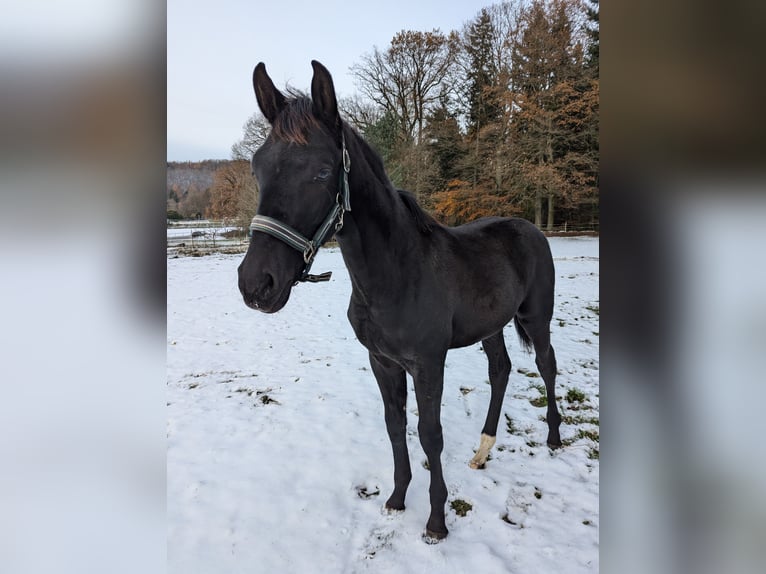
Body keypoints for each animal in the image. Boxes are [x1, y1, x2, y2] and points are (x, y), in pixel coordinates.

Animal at [237, 60, 560, 544]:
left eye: (322, 171)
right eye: (258, 168)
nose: (256, 284)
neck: (396, 274)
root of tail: (530, 228)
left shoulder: (427, 363)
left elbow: (430, 434)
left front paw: (436, 522)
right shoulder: (383, 362)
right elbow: (395, 426)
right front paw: (396, 498)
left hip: (536, 317)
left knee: (546, 364)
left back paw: (554, 439)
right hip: (492, 326)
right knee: (500, 370)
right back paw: (483, 450)